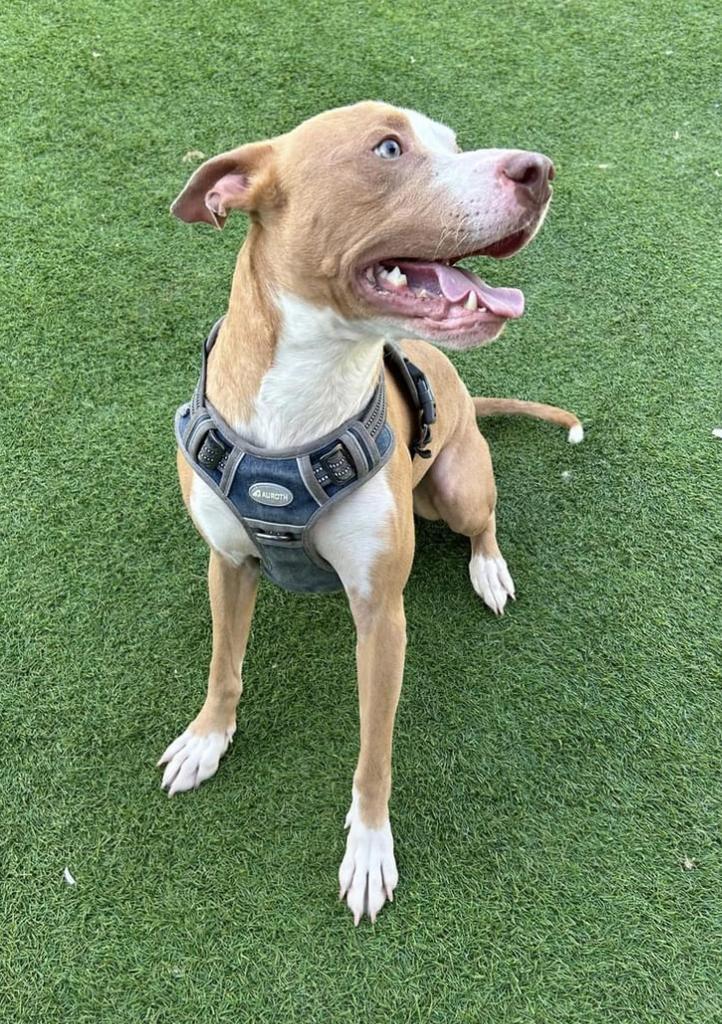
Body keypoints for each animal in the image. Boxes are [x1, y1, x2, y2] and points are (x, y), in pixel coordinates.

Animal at [157, 103, 581, 929]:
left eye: (453, 143)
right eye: (389, 148)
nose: (540, 169)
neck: (305, 393)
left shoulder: (382, 615)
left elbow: (374, 752)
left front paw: (370, 849)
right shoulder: (227, 563)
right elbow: (225, 668)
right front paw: (206, 740)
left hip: (457, 487)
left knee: (483, 523)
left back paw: (489, 569)